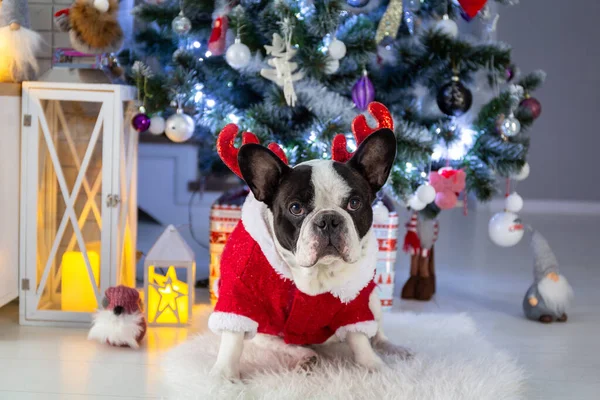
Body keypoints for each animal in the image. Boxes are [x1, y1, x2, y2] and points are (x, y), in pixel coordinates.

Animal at [209, 129, 406, 382]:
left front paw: (374, 366)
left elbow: (360, 339)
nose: (329, 219)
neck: (315, 272)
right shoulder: (239, 293)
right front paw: (224, 375)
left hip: (372, 300)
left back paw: (393, 348)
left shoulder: (355, 302)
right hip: (263, 329)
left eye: (354, 203)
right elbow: (233, 339)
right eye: (295, 208)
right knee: (278, 342)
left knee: (377, 332)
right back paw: (305, 356)